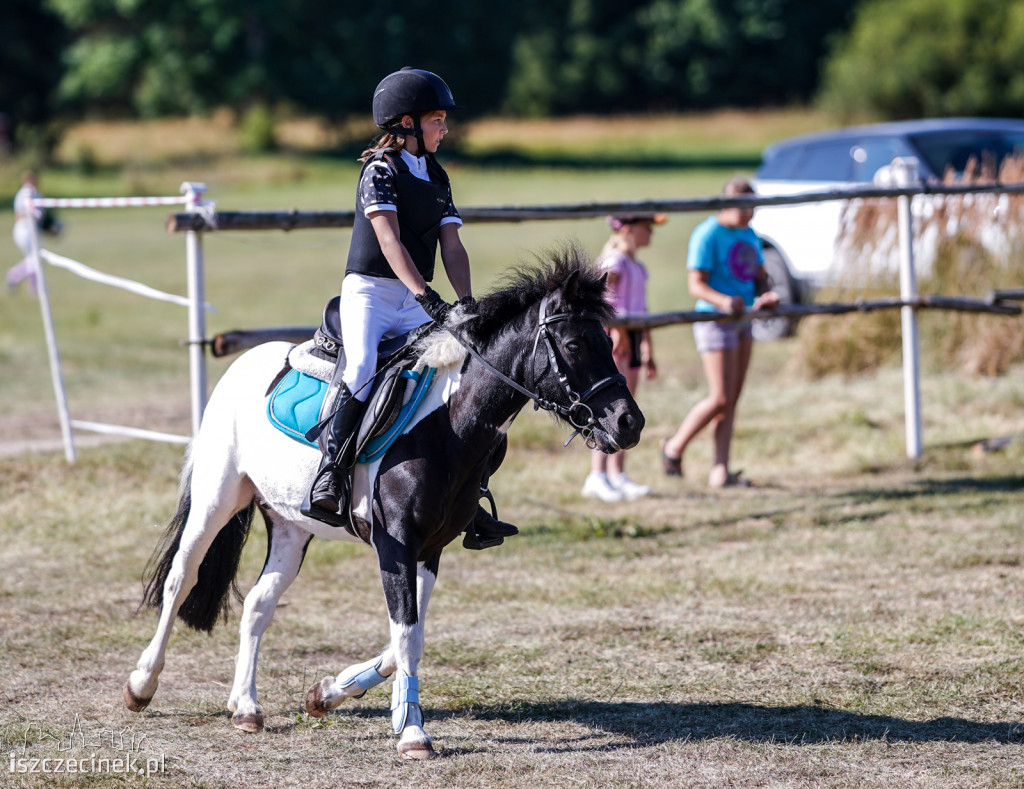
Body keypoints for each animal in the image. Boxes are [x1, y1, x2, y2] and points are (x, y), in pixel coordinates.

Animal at [123, 251, 643, 757]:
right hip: (217, 498)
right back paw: (142, 685)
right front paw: (412, 733)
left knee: (258, 602)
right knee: (181, 579)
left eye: (608, 340)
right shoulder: (395, 545)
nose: (629, 423)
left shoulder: (430, 549)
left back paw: (245, 707)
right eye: (573, 345)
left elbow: (407, 636)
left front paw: (330, 693)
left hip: (291, 527)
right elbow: (407, 636)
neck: (449, 424)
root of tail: (244, 362)